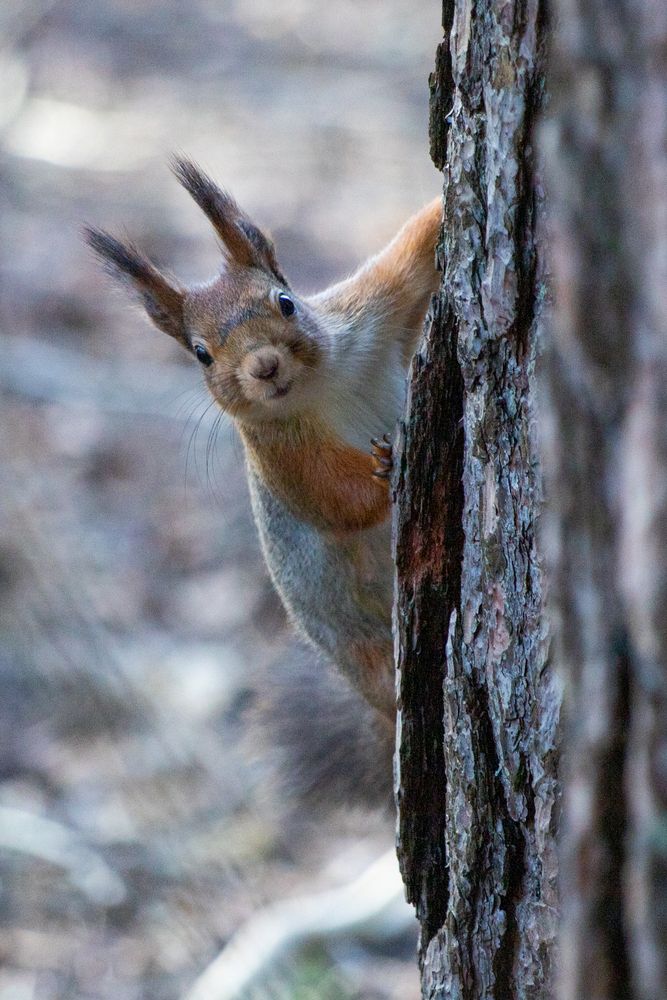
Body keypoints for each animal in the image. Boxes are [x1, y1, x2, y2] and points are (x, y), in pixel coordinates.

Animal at [85, 159, 441, 725]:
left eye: (286, 302)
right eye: (201, 353)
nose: (264, 365)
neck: (322, 385)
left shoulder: (370, 312)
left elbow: (413, 255)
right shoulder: (280, 454)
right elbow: (334, 499)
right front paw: (385, 465)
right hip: (367, 656)